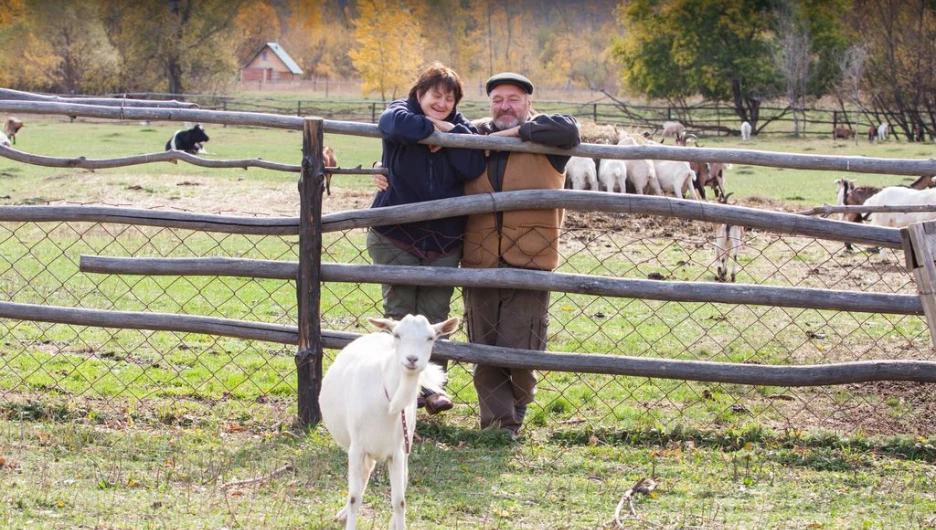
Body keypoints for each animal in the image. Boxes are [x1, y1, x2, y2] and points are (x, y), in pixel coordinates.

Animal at [320, 314, 458, 528]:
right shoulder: (357, 447)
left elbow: (399, 501)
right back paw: (343, 514)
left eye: (431, 338)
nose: (412, 359)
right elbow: (354, 497)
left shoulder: (398, 451)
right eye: (397, 335)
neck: (389, 404)